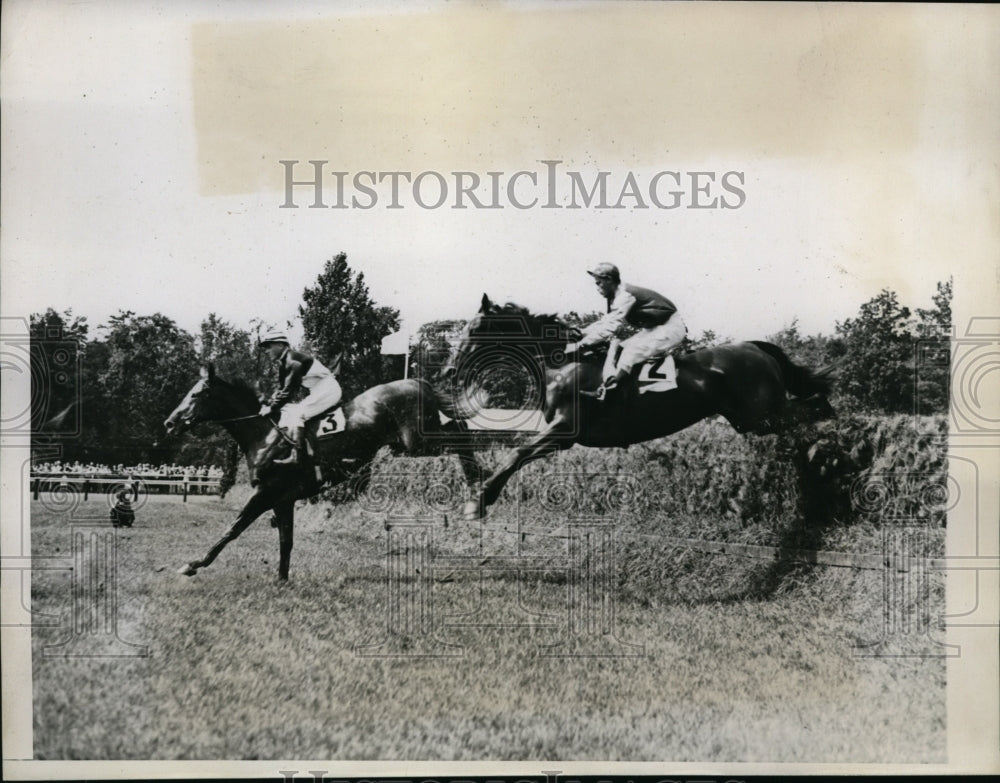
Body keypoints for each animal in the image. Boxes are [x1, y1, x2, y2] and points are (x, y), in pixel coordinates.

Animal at [162, 364, 482, 580]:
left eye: (197, 393)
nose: (169, 422)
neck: (264, 433)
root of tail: (417, 380)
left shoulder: (266, 493)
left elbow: (232, 529)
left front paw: (193, 565)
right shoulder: (282, 499)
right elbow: (286, 540)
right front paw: (282, 579)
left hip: (417, 441)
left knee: (461, 436)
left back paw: (479, 480)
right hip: (409, 443)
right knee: (460, 432)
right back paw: (477, 484)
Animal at [442, 294, 840, 520]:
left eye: (475, 329)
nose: (448, 369)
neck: (563, 361)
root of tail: (756, 347)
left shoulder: (563, 431)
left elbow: (516, 453)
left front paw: (479, 501)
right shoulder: (558, 435)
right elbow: (517, 454)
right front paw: (480, 494)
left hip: (760, 414)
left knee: (815, 408)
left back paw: (831, 450)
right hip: (749, 419)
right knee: (809, 411)